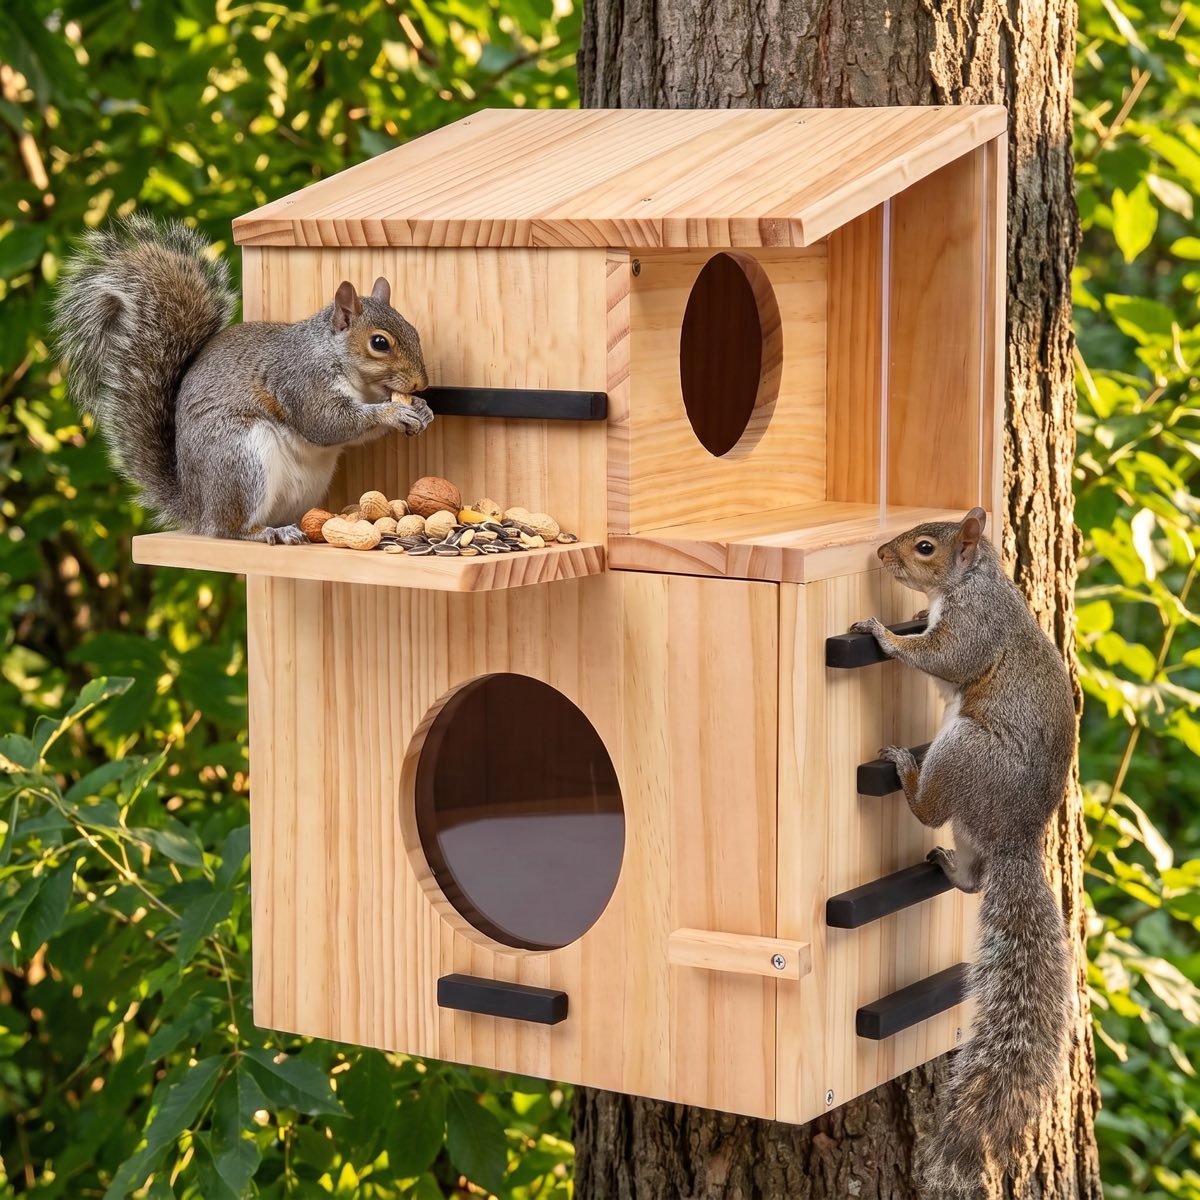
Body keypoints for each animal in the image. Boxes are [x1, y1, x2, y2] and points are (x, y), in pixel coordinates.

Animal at [51, 214, 432, 543]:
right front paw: (393, 412)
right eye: (379, 343)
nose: (421, 384)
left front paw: (421, 409)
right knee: (229, 528)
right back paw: (265, 532)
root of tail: (197, 508)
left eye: (415, 331)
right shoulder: (301, 381)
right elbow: (326, 423)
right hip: (239, 456)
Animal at [849, 507, 1074, 1196]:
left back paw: (904, 771)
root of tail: (1014, 844)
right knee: (972, 880)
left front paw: (882, 633)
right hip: (971, 829)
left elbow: (944, 655)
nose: (880, 554)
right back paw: (950, 865)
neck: (975, 579)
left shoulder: (974, 625)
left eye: (925, 547)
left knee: (931, 811)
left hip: (965, 749)